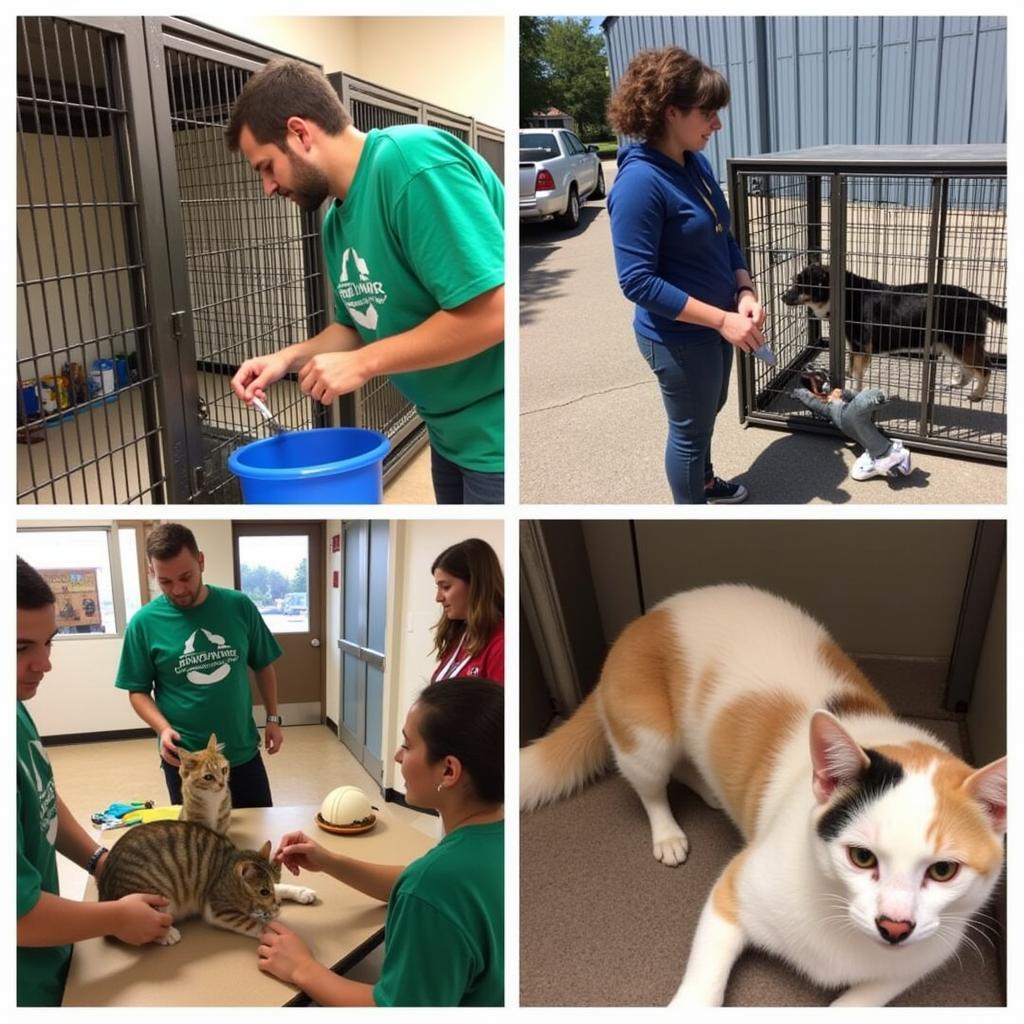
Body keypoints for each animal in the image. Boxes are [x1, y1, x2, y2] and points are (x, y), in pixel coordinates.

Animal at [100, 815, 315, 942]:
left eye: (273, 884)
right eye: (263, 891)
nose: (276, 905)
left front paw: (300, 892)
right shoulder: (219, 910)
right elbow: (254, 924)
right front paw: (272, 928)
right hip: (154, 897)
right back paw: (166, 933)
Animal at [520, 585, 1007, 1007]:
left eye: (943, 870)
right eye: (862, 857)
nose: (895, 927)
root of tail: (651, 615)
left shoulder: (913, 964)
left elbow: (858, 1000)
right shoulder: (732, 894)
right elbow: (704, 983)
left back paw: (709, 790)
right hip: (646, 740)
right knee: (652, 786)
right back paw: (668, 834)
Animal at [778, 264, 1003, 399]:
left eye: (800, 285)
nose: (782, 297)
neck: (845, 294)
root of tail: (977, 298)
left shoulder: (862, 347)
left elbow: (857, 374)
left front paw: (851, 391)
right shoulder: (854, 346)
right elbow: (851, 368)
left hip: (960, 342)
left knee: (986, 368)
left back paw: (977, 394)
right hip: (953, 343)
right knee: (969, 370)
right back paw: (956, 383)